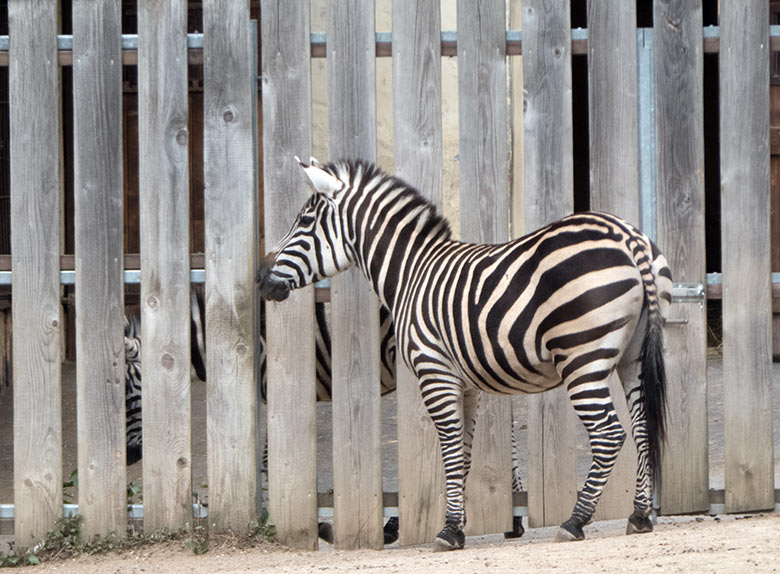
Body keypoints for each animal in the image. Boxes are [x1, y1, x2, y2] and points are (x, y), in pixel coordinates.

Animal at [254, 159, 672, 552]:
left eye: (304, 222)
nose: (259, 279)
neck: (411, 273)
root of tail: (627, 236)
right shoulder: (467, 385)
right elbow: (465, 453)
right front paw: (462, 524)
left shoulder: (434, 372)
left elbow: (451, 451)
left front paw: (449, 530)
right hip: (632, 356)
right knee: (640, 428)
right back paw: (639, 515)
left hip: (581, 357)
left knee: (609, 433)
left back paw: (575, 521)